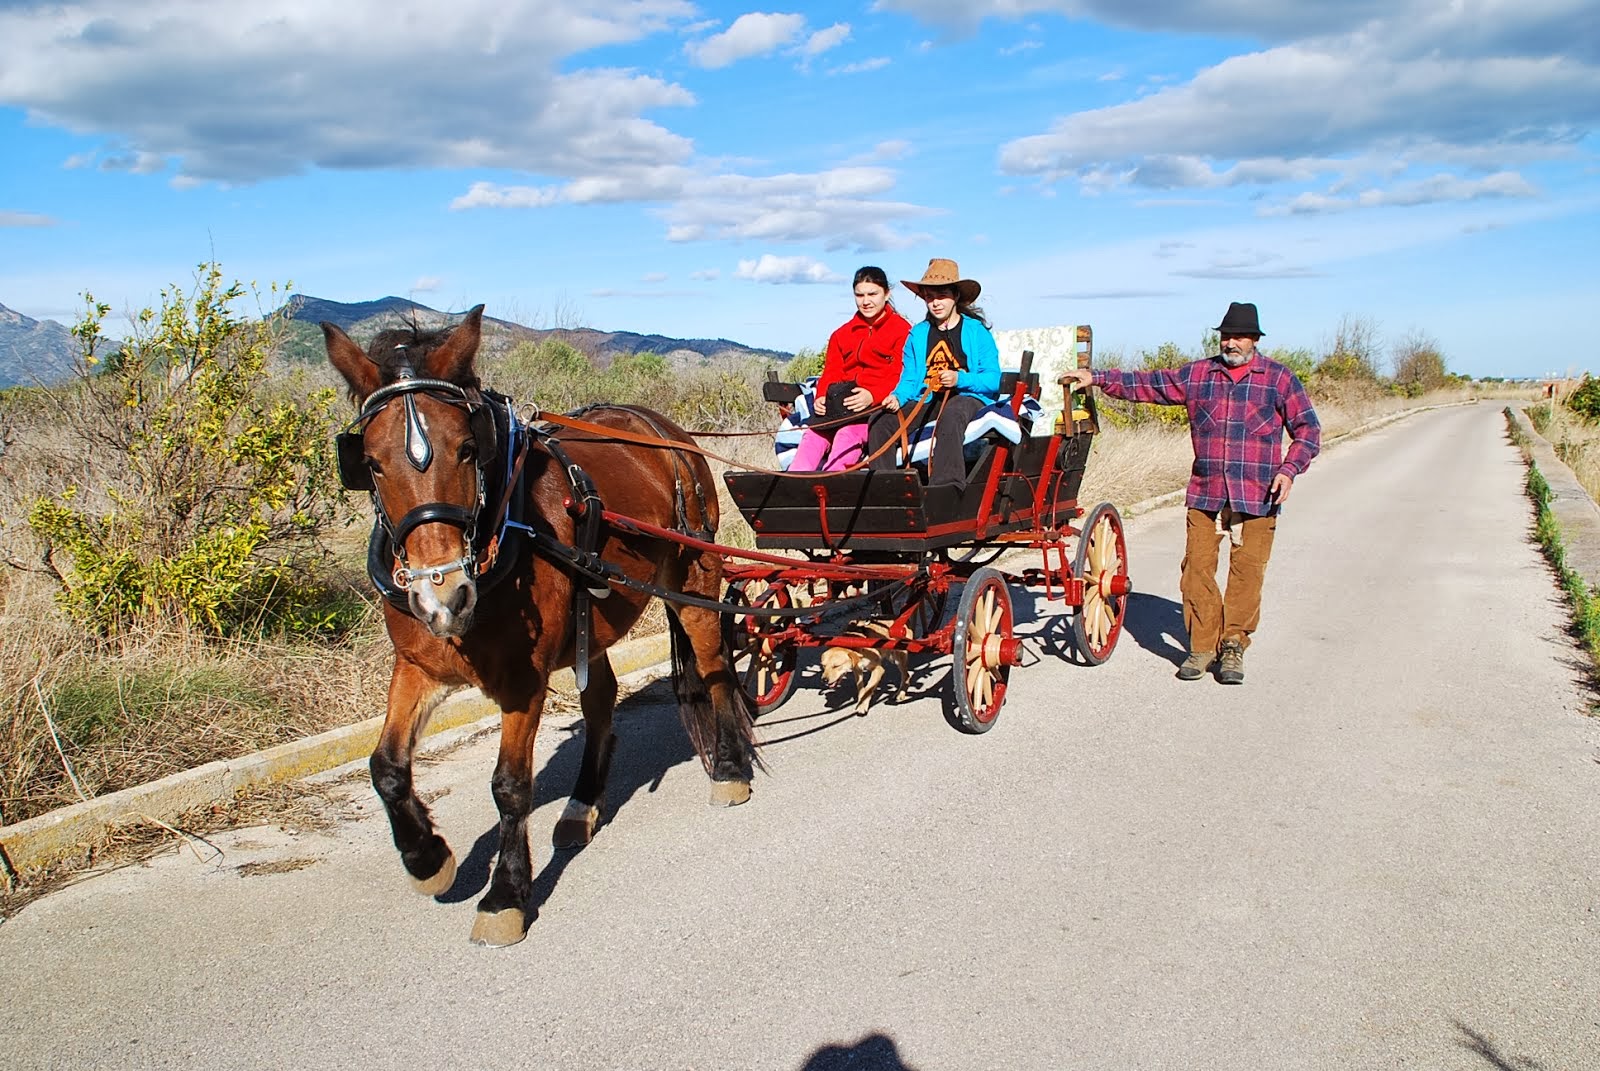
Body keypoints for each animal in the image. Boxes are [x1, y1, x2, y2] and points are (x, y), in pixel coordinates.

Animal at [321, 304, 758, 941]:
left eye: (467, 449)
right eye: (370, 465)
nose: (442, 596)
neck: (504, 528)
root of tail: (660, 429)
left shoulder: (521, 681)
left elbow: (509, 785)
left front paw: (505, 894)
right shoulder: (420, 665)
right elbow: (385, 768)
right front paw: (427, 859)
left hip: (693, 577)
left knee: (715, 663)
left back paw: (727, 768)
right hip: (596, 616)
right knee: (601, 697)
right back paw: (582, 804)